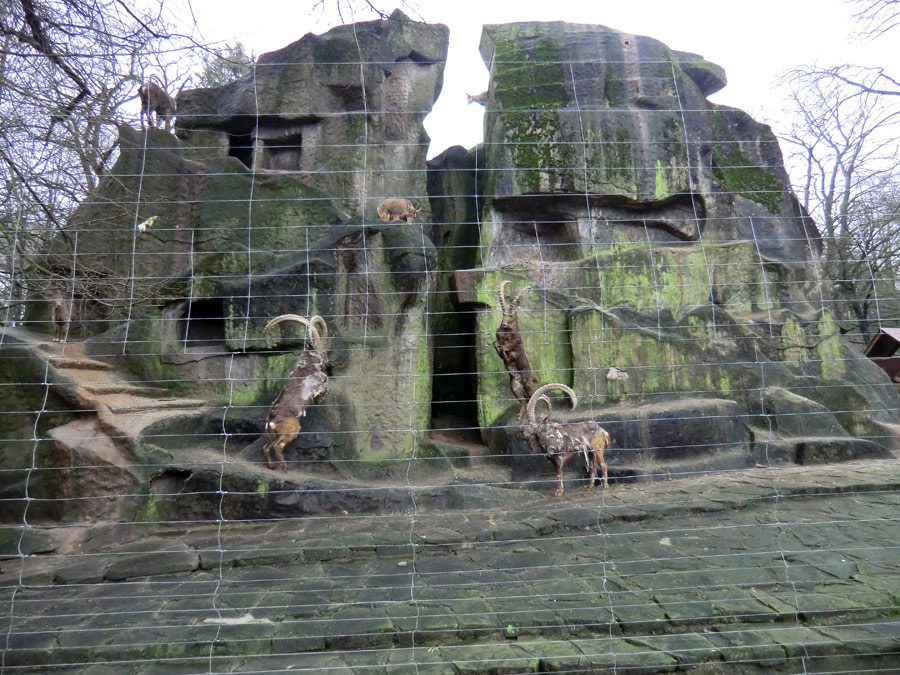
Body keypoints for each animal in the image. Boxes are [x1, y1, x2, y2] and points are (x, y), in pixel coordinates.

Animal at [262, 316, 328, 470]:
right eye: (322, 350)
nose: (327, 360)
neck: (308, 365)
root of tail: (271, 421)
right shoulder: (318, 385)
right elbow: (325, 388)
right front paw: (320, 399)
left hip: (272, 435)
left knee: (266, 447)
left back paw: (272, 466)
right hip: (292, 429)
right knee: (278, 446)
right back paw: (285, 467)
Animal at [492, 280, 536, 418]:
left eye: (511, 314)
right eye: (503, 313)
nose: (505, 324)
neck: (507, 333)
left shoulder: (515, 345)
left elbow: (506, 348)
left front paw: (506, 357)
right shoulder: (498, 340)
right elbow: (495, 343)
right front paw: (502, 356)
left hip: (527, 384)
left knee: (532, 397)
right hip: (514, 387)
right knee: (523, 401)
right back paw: (520, 415)